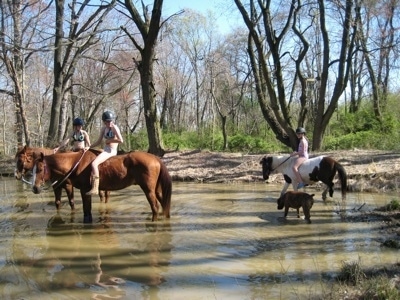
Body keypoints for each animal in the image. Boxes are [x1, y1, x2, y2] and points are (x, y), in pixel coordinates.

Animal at [29, 150, 170, 223]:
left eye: (40, 169)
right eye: (32, 169)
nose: (35, 188)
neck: (75, 164)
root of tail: (155, 158)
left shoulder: (84, 191)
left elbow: (86, 211)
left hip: (148, 190)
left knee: (155, 207)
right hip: (156, 190)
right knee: (163, 204)